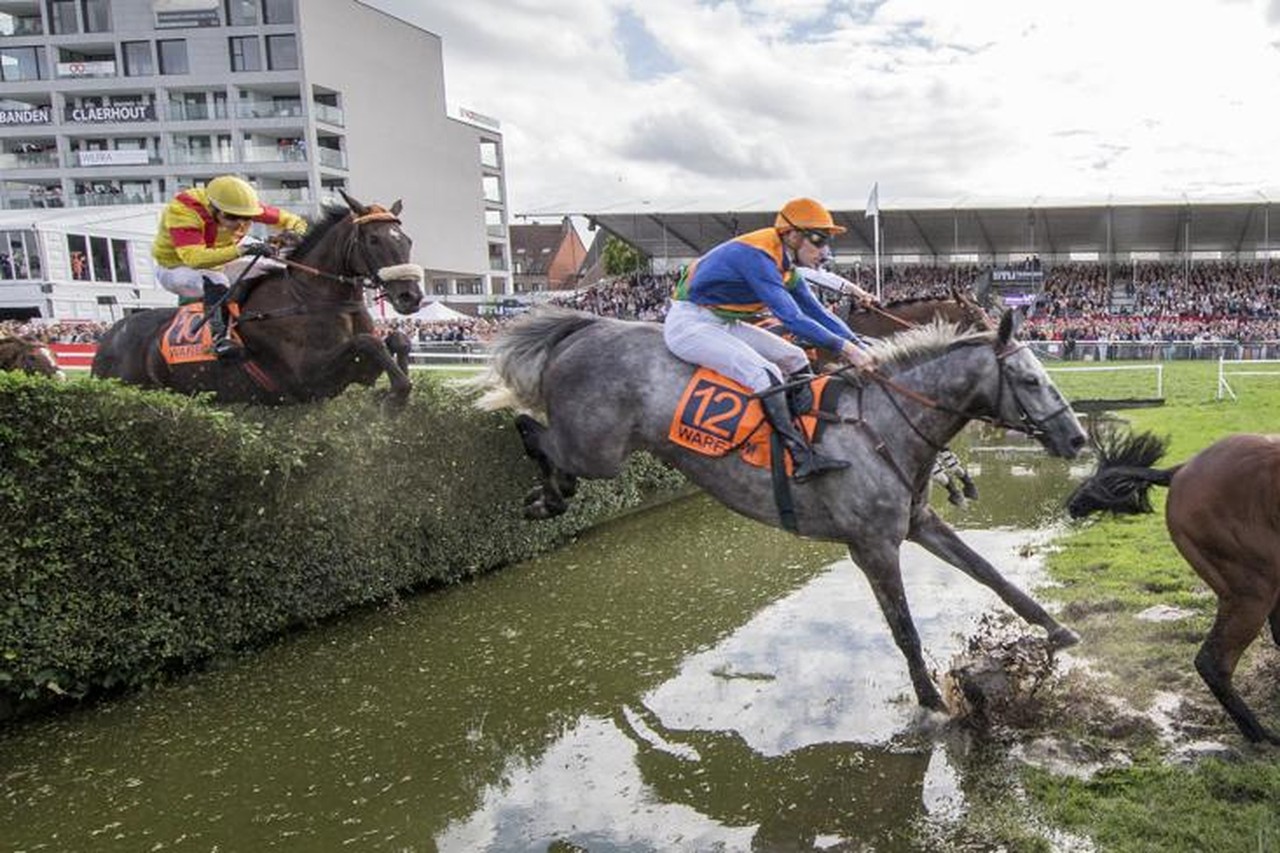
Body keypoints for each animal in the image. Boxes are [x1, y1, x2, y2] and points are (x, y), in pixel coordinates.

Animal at [92, 190, 430, 407]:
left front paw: (392, 393)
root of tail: (108, 339)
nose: (410, 296)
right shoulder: (307, 379)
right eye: (373, 239)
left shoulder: (354, 373)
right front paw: (393, 397)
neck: (313, 297)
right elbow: (368, 342)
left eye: (408, 240)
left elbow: (397, 340)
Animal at [476, 306, 1085, 712]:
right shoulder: (872, 546)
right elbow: (904, 628)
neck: (882, 425)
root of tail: (587, 327)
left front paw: (1056, 629)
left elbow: (991, 574)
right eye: (1030, 380)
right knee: (534, 431)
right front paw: (932, 700)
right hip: (597, 451)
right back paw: (547, 495)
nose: (1077, 438)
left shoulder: (919, 523)